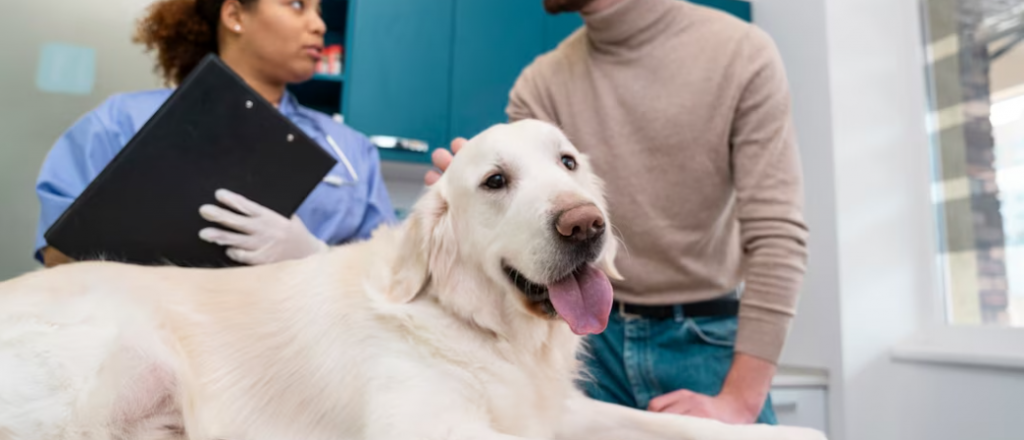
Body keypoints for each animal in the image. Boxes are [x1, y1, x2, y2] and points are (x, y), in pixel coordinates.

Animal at [0, 120, 823, 440]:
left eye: (567, 162)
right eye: (495, 181)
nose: (585, 225)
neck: (479, 327)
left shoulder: (557, 409)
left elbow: (680, 423)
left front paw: (793, 427)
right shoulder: (427, 423)